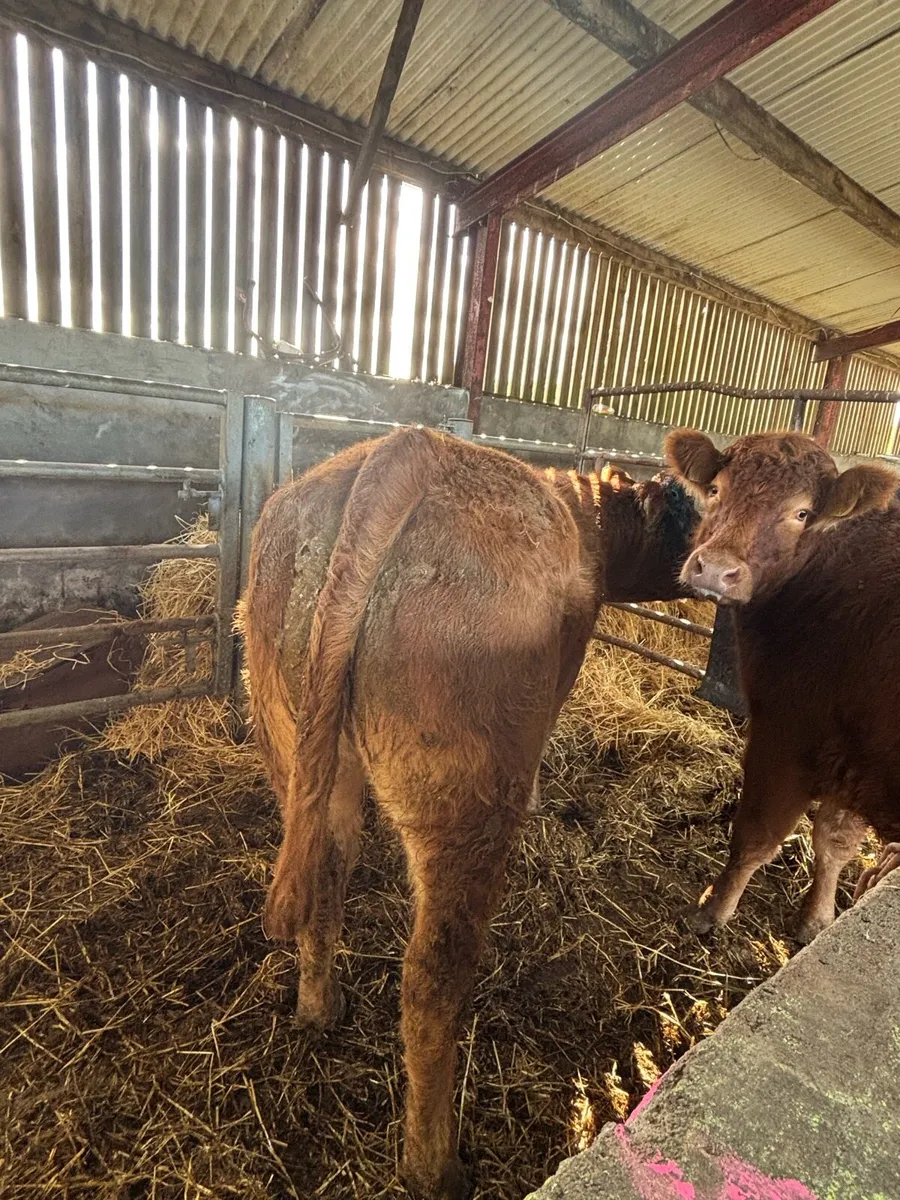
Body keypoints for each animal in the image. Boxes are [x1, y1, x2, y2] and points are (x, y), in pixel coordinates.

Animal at [241, 426, 697, 1200]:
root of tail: (411, 448)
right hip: (468, 803)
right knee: (430, 982)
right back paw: (435, 1166)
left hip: (300, 741)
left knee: (325, 879)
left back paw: (319, 1009)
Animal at [665, 428, 900, 944]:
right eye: (716, 490)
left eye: (802, 513)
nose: (716, 570)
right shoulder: (851, 753)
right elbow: (834, 840)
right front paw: (818, 918)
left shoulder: (787, 730)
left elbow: (757, 834)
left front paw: (712, 909)